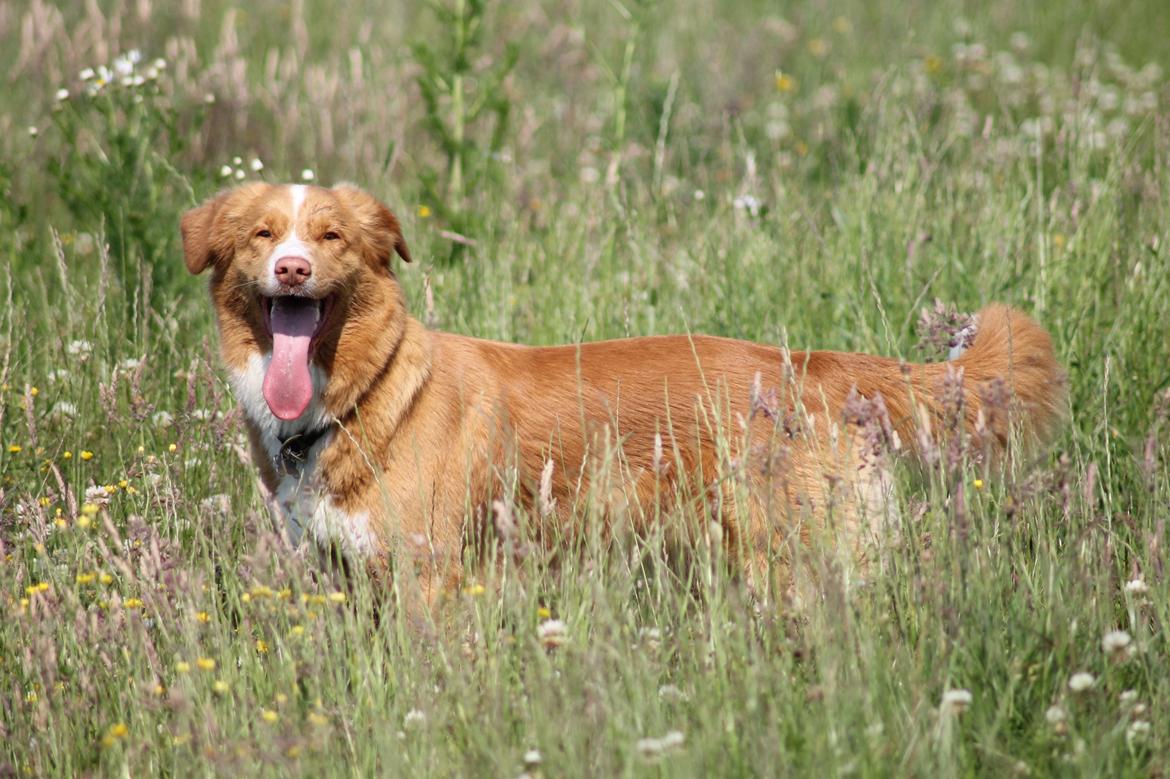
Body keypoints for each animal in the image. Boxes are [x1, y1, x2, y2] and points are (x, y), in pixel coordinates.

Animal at [177, 183, 1067, 608]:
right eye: (262, 234)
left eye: (330, 236)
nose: (292, 268)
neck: (366, 392)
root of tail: (814, 365)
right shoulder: (346, 574)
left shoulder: (431, 578)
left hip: (804, 562)